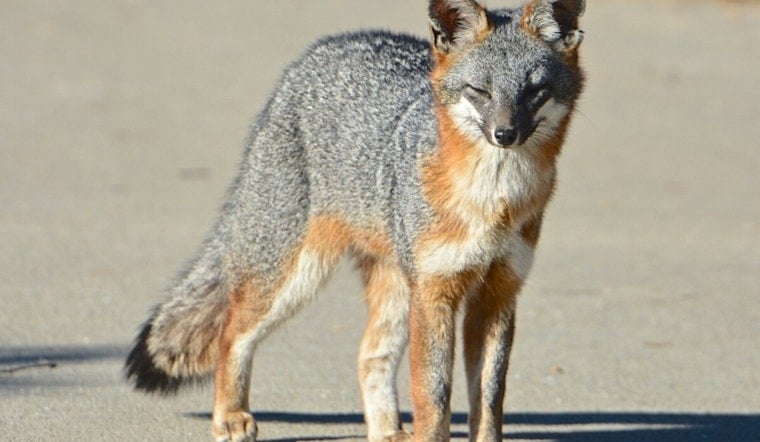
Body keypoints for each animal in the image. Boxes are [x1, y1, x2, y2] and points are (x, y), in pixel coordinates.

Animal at [125, 0, 585, 441]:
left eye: (535, 91)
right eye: (480, 91)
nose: (505, 134)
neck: (493, 203)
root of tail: (322, 51)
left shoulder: (498, 294)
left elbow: (489, 400)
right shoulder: (434, 292)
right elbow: (432, 396)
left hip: (395, 291)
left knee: (367, 354)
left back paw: (386, 431)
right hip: (296, 277)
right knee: (231, 332)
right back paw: (230, 416)